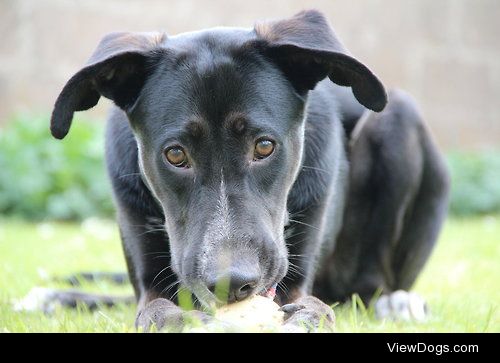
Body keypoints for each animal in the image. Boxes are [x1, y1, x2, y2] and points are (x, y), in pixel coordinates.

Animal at [49, 9, 450, 332]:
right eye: (176, 155)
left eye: (264, 146)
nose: (232, 282)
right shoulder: (149, 279)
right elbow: (155, 308)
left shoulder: (294, 275)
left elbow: (314, 305)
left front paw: (308, 317)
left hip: (397, 115)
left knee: (368, 286)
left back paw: (395, 301)